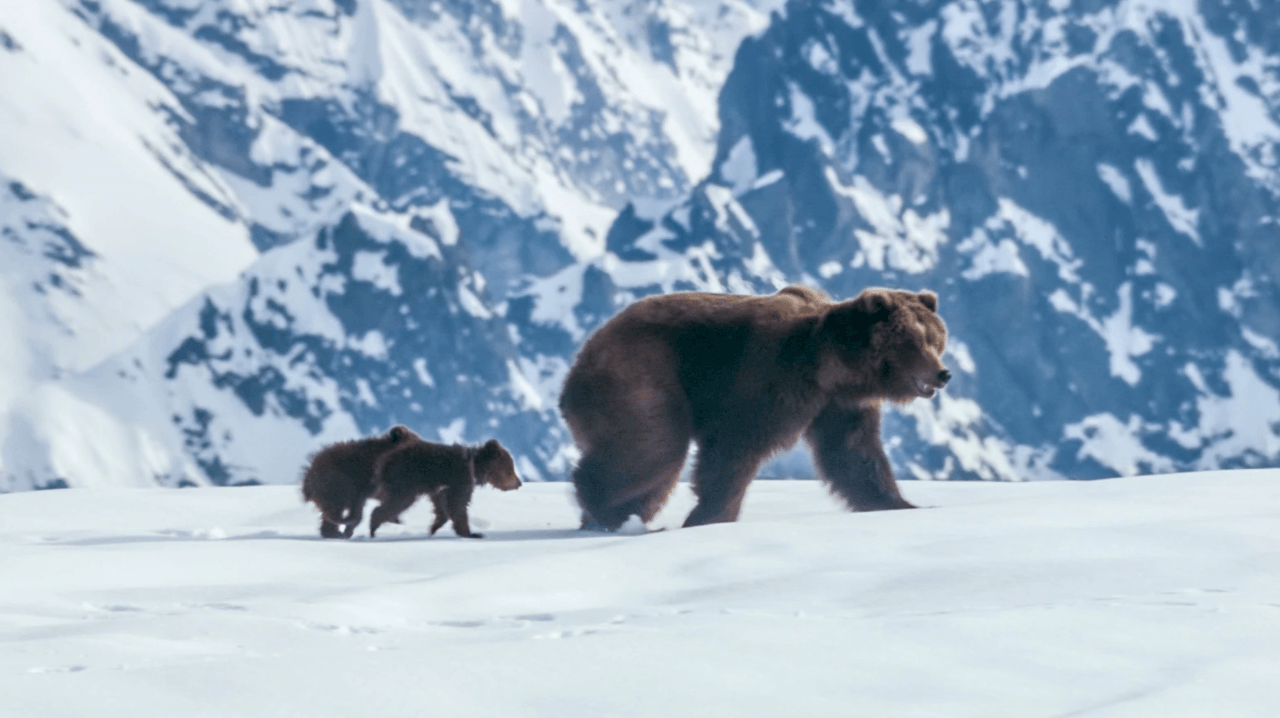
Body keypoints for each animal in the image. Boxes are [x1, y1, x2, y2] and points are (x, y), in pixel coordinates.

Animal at [560, 284, 952, 527]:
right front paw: (710, 516)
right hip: (644, 376)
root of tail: (583, 354)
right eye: (913, 341)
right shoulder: (770, 376)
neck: (831, 366)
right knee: (652, 447)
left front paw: (902, 504)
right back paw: (605, 511)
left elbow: (855, 456)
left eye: (935, 339)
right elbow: (734, 447)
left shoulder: (839, 405)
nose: (943, 373)